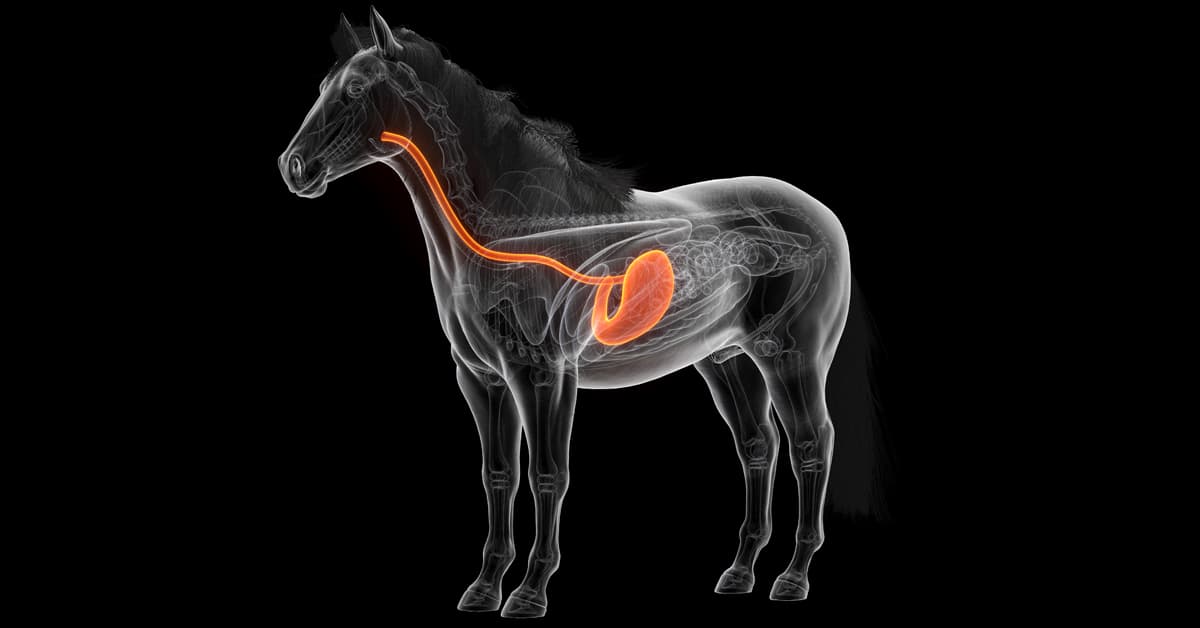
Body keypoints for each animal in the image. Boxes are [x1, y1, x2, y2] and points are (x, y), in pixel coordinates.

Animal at [279, 9, 853, 618]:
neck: (513, 228)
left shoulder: (543, 373)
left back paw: (792, 577)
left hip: (788, 355)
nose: (294, 167)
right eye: (321, 87)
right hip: (727, 359)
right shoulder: (482, 378)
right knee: (757, 448)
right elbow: (499, 475)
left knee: (811, 445)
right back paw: (740, 573)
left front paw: (529, 593)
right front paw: (484, 587)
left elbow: (548, 475)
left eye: (355, 89)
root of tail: (823, 218)